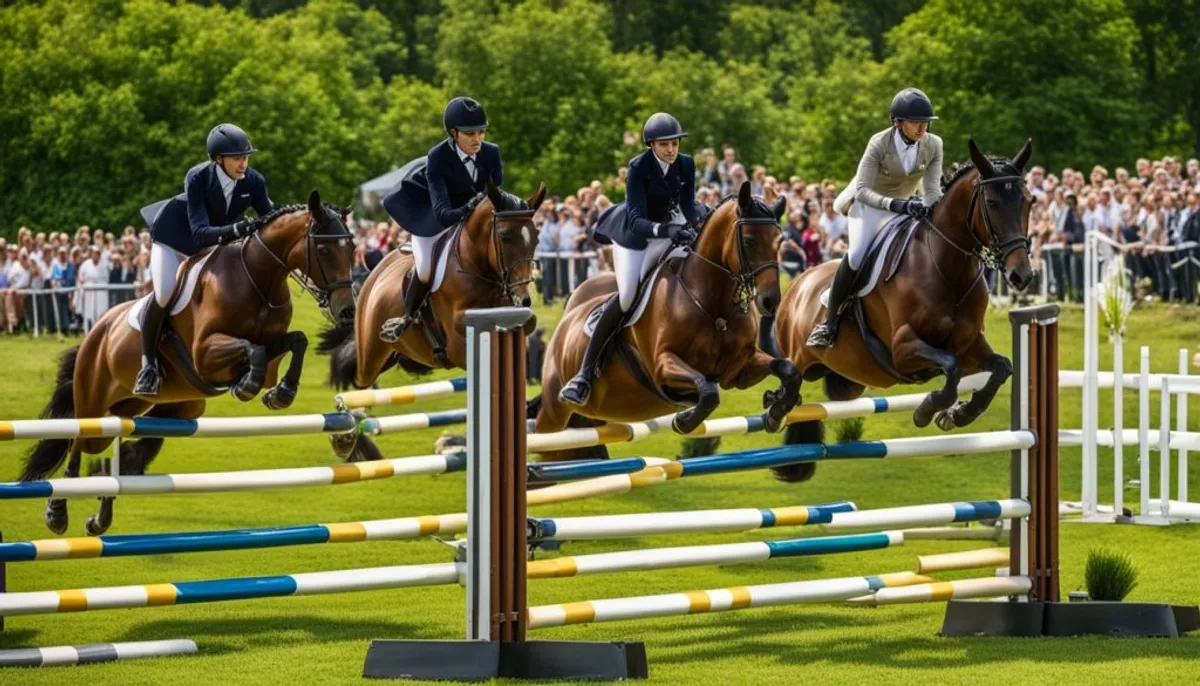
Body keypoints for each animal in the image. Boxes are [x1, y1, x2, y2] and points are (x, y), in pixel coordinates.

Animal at [22, 191, 355, 534]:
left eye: (352, 248)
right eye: (324, 249)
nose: (348, 311)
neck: (258, 280)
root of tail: (97, 330)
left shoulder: (271, 354)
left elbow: (294, 342)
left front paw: (281, 394)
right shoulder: (204, 355)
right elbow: (253, 350)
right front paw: (247, 386)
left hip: (164, 406)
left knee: (124, 443)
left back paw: (101, 514)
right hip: (94, 403)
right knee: (77, 442)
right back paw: (57, 513)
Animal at [319, 181, 544, 460]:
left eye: (535, 237)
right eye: (505, 237)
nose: (523, 298)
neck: (477, 267)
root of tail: (374, 273)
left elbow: (527, 324)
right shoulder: (457, 343)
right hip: (370, 355)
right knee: (357, 375)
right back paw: (347, 433)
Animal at [532, 181, 796, 460]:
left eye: (780, 241)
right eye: (748, 240)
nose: (770, 302)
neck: (713, 307)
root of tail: (565, 321)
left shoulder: (738, 370)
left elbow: (788, 370)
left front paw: (776, 408)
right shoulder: (662, 365)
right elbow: (707, 392)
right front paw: (685, 421)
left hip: (588, 417)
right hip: (554, 411)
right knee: (546, 439)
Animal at [772, 137, 1036, 482]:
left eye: (1029, 202)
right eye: (991, 203)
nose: (1022, 275)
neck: (948, 270)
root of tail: (798, 283)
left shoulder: (969, 345)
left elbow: (1002, 367)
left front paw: (959, 414)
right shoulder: (902, 349)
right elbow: (950, 368)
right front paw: (929, 409)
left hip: (849, 381)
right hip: (798, 354)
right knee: (790, 384)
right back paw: (775, 408)